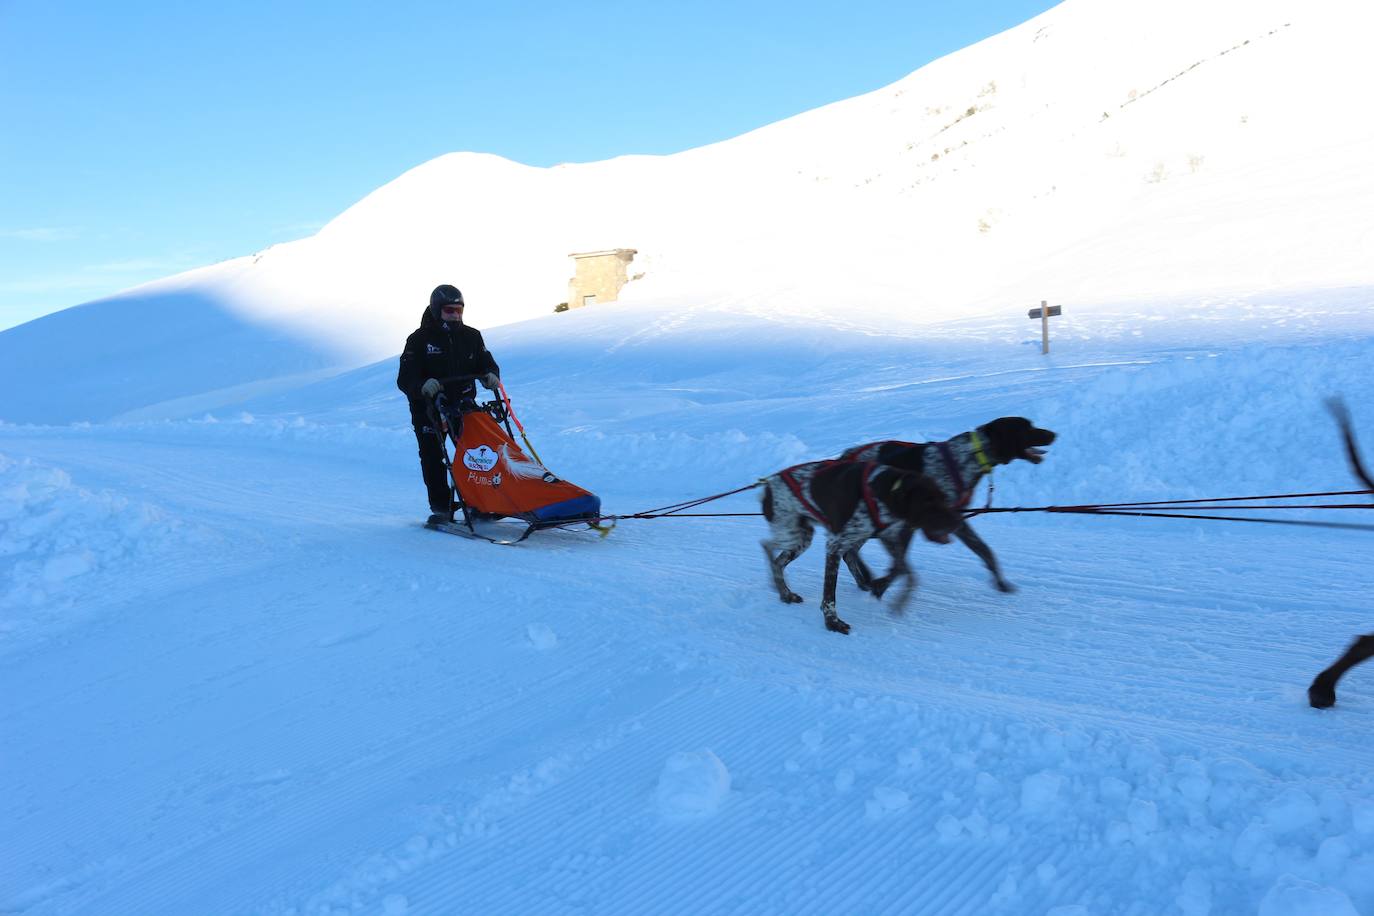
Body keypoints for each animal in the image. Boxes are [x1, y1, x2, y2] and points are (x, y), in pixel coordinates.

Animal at [758, 461, 961, 634]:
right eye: (928, 501)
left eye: (944, 497)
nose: (957, 522)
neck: (880, 491)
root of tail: (767, 484)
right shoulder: (834, 546)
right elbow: (829, 595)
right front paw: (832, 622)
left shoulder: (888, 537)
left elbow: (907, 572)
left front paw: (895, 598)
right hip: (793, 535)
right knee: (767, 546)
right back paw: (782, 590)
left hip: (803, 538)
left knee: (777, 558)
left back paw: (785, 591)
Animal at [829, 417, 1055, 596]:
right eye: (1026, 427)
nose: (1054, 433)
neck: (968, 457)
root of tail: (843, 457)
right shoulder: (915, 523)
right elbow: (899, 562)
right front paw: (882, 585)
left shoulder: (955, 520)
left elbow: (985, 551)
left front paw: (1001, 583)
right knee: (849, 552)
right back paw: (865, 579)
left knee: (850, 551)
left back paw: (864, 579)